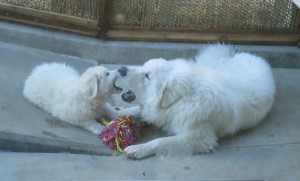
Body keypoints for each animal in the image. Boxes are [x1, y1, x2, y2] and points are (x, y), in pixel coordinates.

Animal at [118, 43, 276, 158]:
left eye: (148, 76)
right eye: (143, 66)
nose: (121, 69)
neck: (182, 101)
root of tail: (251, 56)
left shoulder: (199, 139)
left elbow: (160, 141)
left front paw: (138, 149)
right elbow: (135, 111)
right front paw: (117, 115)